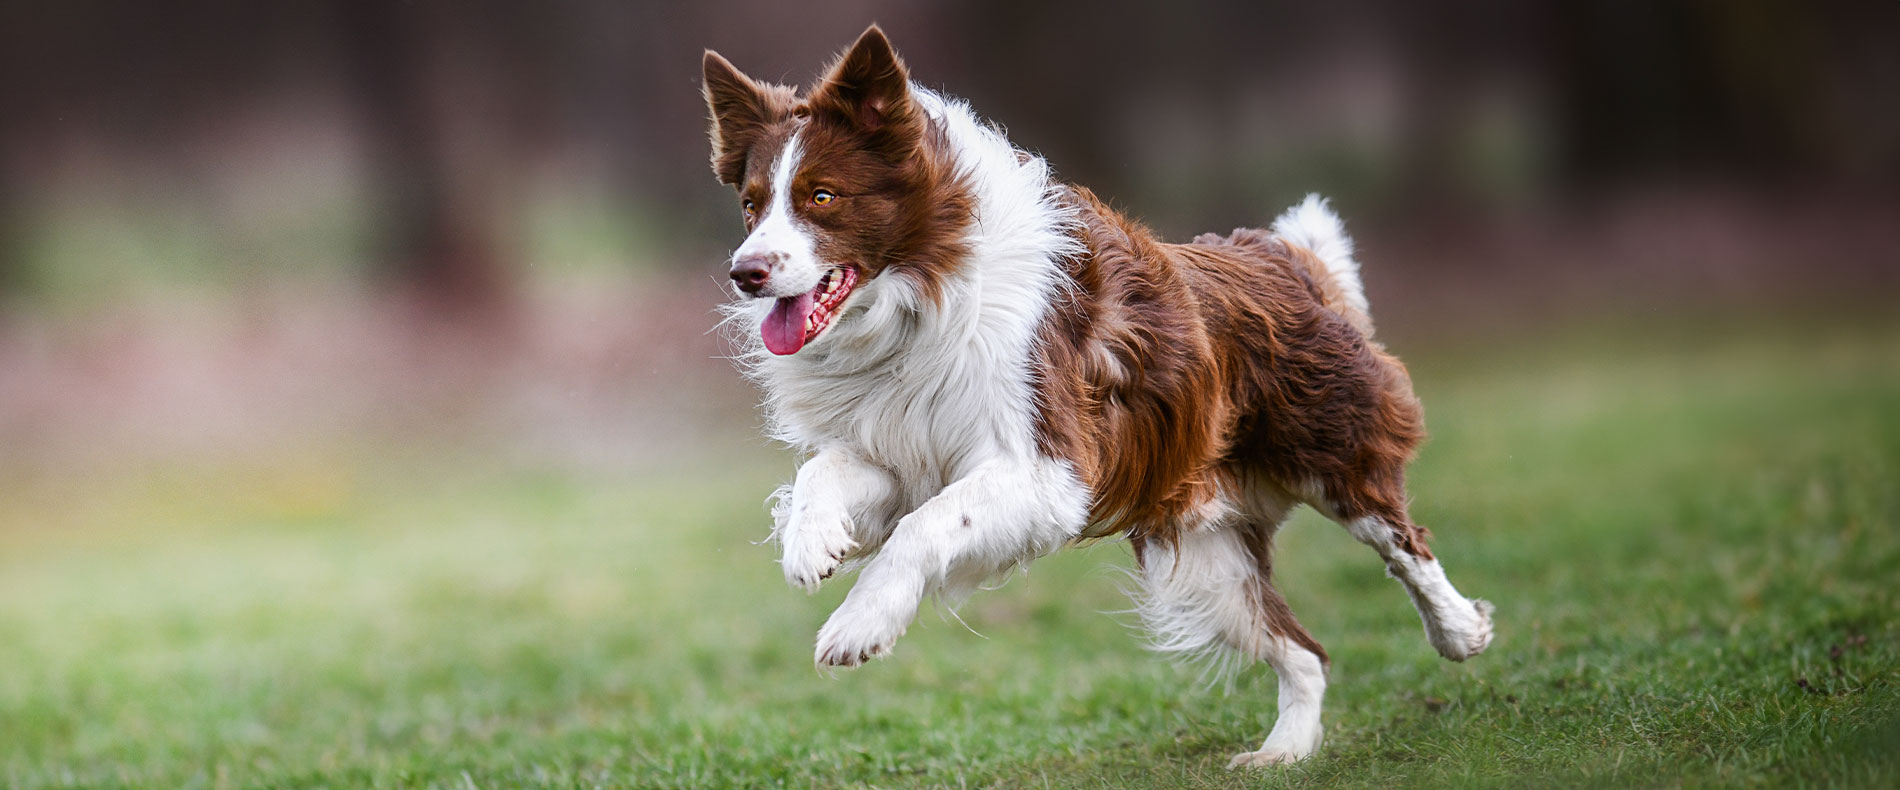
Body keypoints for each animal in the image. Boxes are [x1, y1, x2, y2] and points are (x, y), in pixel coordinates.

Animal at [706, 26, 1489, 767]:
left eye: (822, 196)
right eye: (751, 205)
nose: (745, 272)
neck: (918, 295)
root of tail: (1281, 256)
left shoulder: (1049, 469)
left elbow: (926, 527)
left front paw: (858, 625)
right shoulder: (903, 447)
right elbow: (826, 473)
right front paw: (813, 543)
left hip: (1330, 450)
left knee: (1401, 541)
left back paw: (1462, 631)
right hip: (1203, 554)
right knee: (1303, 650)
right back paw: (1285, 751)